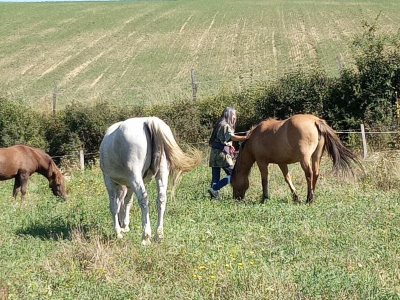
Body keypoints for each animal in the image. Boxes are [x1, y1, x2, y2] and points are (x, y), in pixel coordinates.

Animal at [99, 116, 202, 244]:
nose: (122, 226)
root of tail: (148, 120)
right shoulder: (128, 185)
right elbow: (127, 203)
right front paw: (125, 226)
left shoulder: (109, 181)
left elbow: (114, 206)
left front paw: (118, 233)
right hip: (162, 173)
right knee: (161, 199)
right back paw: (158, 234)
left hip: (135, 177)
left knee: (143, 199)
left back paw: (145, 236)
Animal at [231, 114, 360, 204]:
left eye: (232, 182)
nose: (236, 199)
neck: (253, 139)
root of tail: (315, 121)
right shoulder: (282, 163)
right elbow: (287, 178)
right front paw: (295, 197)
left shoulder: (261, 162)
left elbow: (264, 180)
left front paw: (265, 198)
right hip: (316, 156)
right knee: (316, 174)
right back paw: (311, 196)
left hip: (305, 158)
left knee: (309, 174)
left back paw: (309, 199)